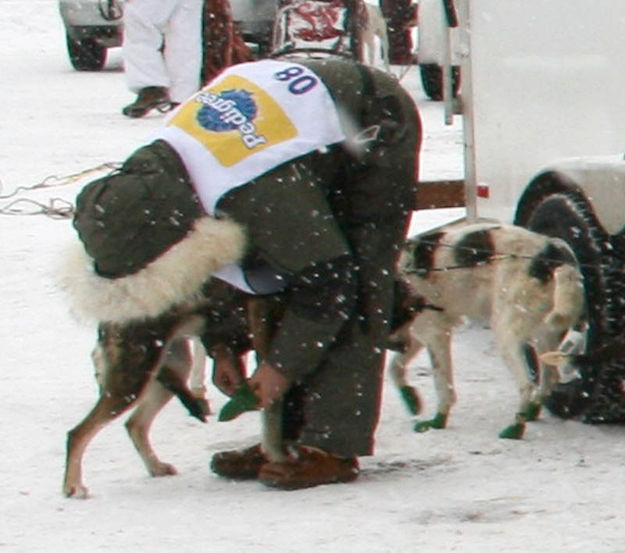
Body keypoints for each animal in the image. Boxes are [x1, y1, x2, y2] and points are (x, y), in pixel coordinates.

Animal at [390, 222, 584, 438]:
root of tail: (552, 250)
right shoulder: (419, 335)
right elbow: (395, 368)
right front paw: (411, 399)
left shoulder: (434, 334)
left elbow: (442, 385)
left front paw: (438, 421)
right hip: (543, 334)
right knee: (550, 377)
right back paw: (530, 412)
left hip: (506, 334)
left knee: (527, 383)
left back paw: (516, 427)